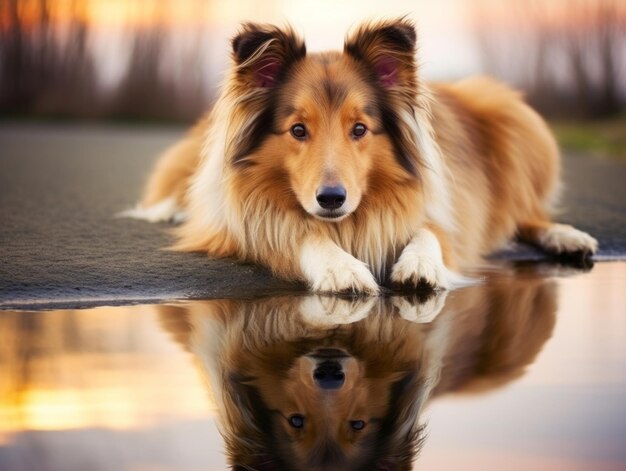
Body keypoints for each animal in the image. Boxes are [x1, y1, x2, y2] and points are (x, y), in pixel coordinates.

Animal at [120, 18, 596, 294]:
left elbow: (429, 232)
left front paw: (419, 264)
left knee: (525, 214)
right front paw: (341, 268)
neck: (348, 223)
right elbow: (299, 233)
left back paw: (566, 237)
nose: (332, 199)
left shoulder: (444, 212)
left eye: (360, 129)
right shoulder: (243, 226)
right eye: (298, 130)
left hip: (515, 117)